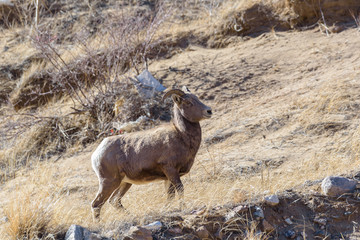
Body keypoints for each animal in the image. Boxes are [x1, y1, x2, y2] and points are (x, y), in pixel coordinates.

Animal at [91, 86, 212, 219]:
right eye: (188, 102)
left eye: (197, 98)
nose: (209, 111)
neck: (181, 135)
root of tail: (96, 154)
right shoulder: (171, 170)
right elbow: (180, 189)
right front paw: (183, 208)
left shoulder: (168, 178)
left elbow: (170, 195)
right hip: (109, 182)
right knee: (96, 204)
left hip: (124, 183)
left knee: (114, 201)